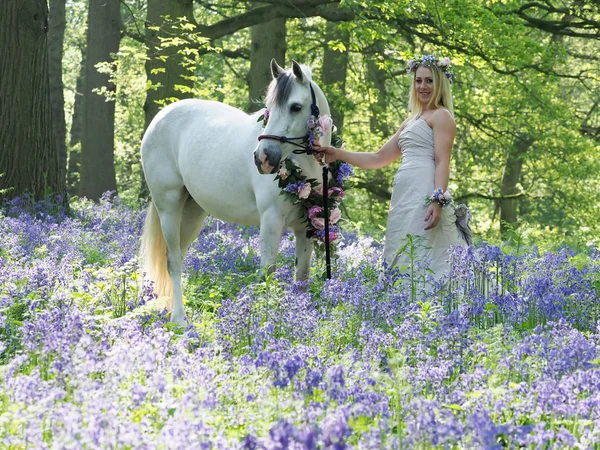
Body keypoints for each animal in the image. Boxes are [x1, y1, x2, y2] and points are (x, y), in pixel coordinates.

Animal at [139, 61, 332, 326]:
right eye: (269, 108)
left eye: (295, 107)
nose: (262, 158)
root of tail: (160, 118)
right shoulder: (271, 221)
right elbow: (267, 273)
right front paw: (267, 320)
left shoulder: (306, 228)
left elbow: (301, 278)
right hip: (169, 207)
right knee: (174, 261)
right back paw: (179, 319)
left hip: (192, 213)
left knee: (179, 255)